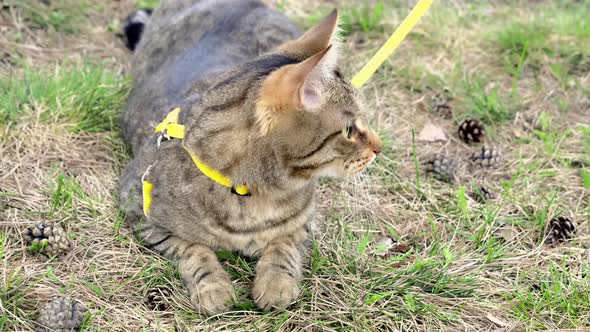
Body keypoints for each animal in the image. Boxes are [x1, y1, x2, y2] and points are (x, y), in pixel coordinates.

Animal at [119, 0, 384, 316]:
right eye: (348, 130)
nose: (379, 146)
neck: (252, 192)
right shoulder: (139, 209)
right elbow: (193, 249)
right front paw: (213, 287)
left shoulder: (305, 223)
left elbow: (283, 246)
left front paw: (275, 283)